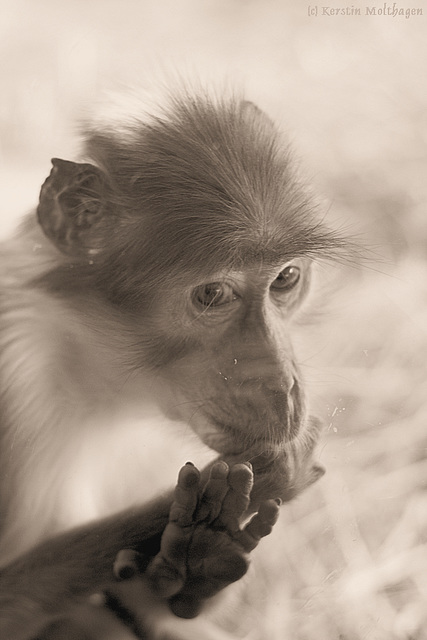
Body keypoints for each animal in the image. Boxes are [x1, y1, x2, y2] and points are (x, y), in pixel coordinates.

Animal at [0, 90, 342, 640]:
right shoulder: (18, 380)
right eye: (213, 294)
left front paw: (202, 551)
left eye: (286, 279)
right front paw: (215, 508)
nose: (282, 384)